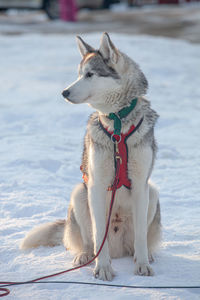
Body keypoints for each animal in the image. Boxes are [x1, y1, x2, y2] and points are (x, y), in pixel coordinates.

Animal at [20, 32, 161, 282]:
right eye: (78, 74)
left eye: (89, 74)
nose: (64, 92)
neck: (117, 125)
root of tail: (118, 248)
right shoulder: (96, 185)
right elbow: (98, 234)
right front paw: (102, 267)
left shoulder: (140, 185)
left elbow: (141, 238)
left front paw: (142, 265)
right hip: (79, 193)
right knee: (89, 242)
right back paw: (85, 256)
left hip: (152, 192)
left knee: (137, 241)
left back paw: (143, 256)